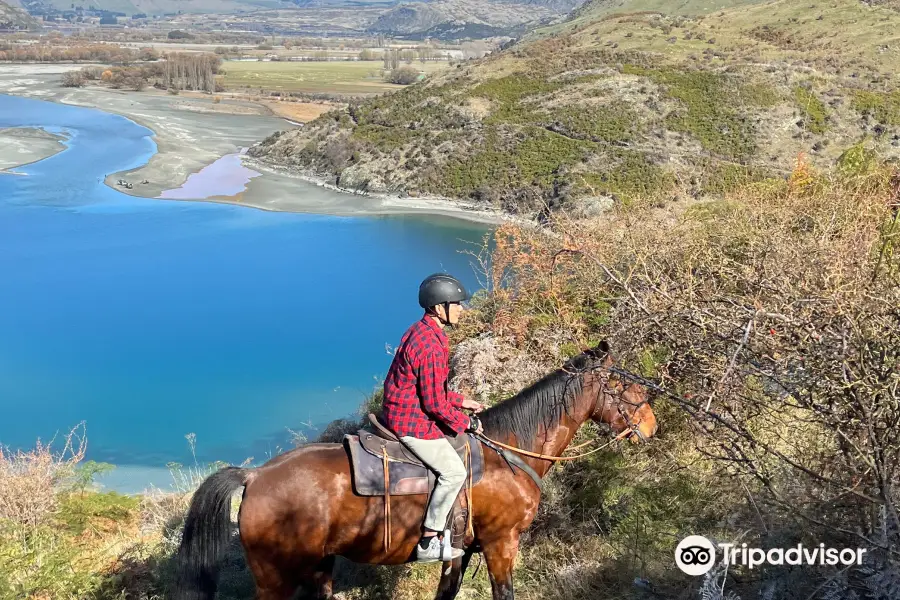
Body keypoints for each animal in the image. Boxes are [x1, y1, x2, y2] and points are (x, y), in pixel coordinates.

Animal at [172, 342, 656, 600]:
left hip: (318, 566)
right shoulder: (501, 545)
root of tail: (253, 477)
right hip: (275, 578)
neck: (510, 455)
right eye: (625, 385)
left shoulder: (460, 553)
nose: (652, 425)